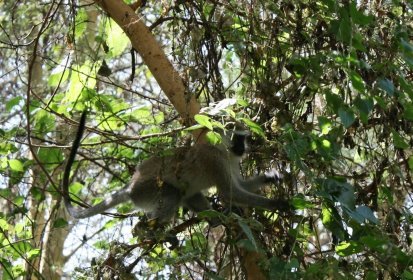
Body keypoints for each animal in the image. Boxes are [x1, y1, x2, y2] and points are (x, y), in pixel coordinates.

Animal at [62, 111, 290, 223]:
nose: (243, 149)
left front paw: (270, 177)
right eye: (237, 138)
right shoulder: (214, 161)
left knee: (189, 194)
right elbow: (229, 192)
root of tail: (132, 185)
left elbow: (240, 186)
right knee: (171, 195)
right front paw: (277, 204)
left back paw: (214, 219)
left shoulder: (232, 162)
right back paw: (150, 229)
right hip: (147, 191)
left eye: (244, 139)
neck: (221, 149)